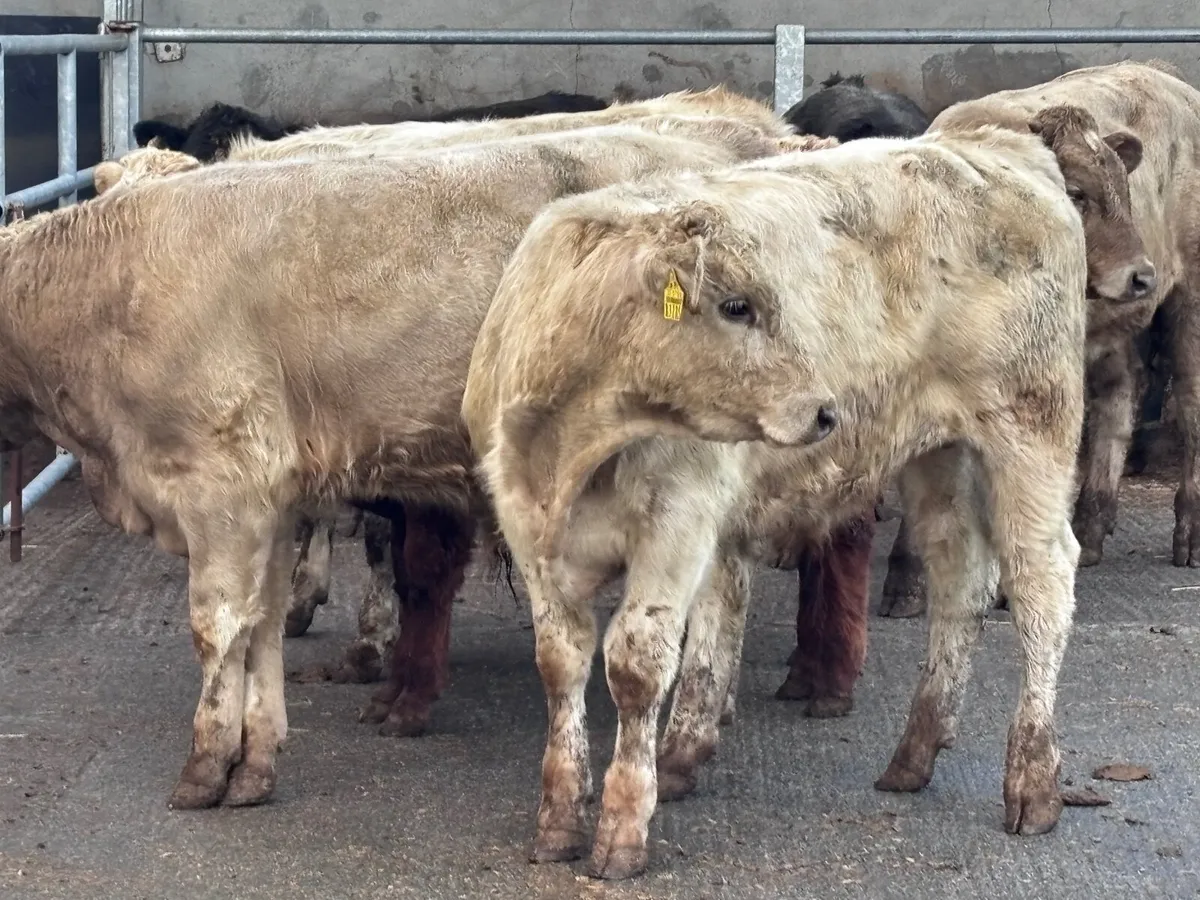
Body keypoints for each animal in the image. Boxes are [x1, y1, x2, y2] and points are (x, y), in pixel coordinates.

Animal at [0, 114, 810, 811]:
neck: (107, 283)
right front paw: (254, 761)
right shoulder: (272, 501)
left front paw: (205, 765)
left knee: (721, 593)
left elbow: (219, 627)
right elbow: (263, 625)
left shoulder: (221, 490)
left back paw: (689, 742)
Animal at [463, 122, 1091, 879]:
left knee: (1040, 583)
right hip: (935, 452)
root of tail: (994, 143)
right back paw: (914, 753)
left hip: (1030, 433)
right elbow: (561, 664)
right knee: (959, 578)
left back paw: (1033, 779)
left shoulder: (677, 523)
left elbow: (636, 665)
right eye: (737, 306)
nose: (825, 412)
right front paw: (559, 818)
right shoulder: (530, 533)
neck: (572, 448)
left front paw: (621, 830)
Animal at [880, 59, 1194, 618]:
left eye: (1124, 191)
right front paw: (907, 578)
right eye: (1077, 192)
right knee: (1122, 394)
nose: (1142, 276)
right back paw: (1091, 527)